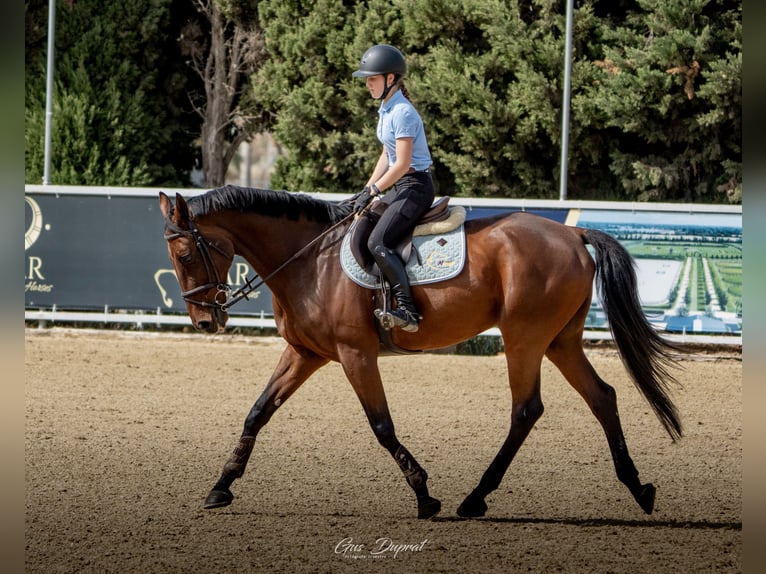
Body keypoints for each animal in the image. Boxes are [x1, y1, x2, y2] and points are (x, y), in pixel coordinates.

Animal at [158, 184, 682, 519]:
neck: (310, 261)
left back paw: (475, 498)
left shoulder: (355, 354)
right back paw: (639, 488)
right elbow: (257, 412)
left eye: (184, 255)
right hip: (560, 340)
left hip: (525, 339)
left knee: (526, 409)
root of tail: (572, 234)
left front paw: (424, 494)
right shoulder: (305, 353)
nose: (205, 321)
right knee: (602, 397)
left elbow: (381, 425)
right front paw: (220, 487)